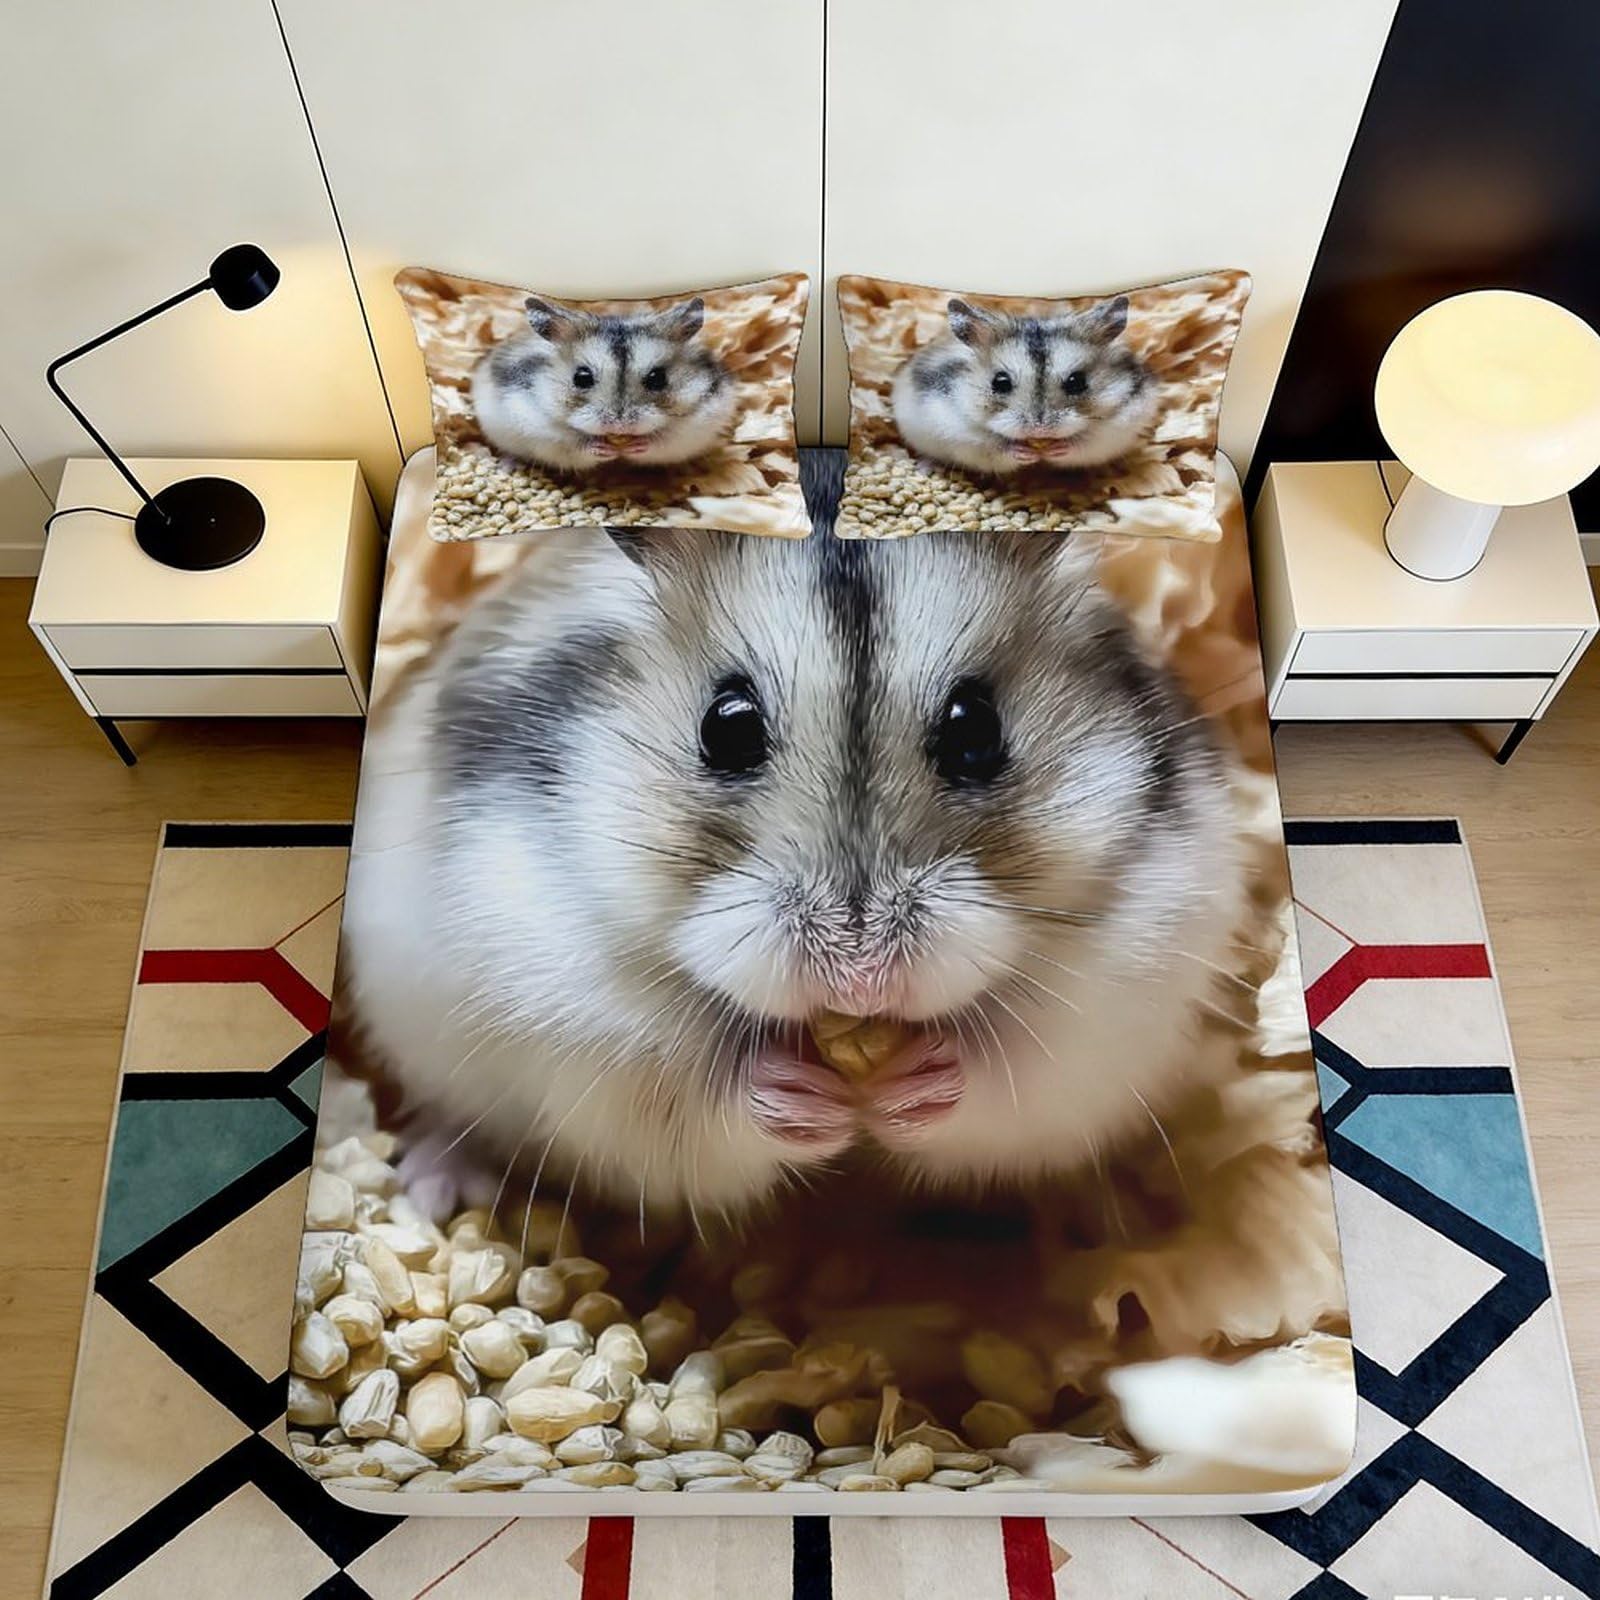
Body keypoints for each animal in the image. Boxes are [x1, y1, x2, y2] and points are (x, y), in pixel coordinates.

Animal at [341, 471, 1243, 1220]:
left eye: (975, 730)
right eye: (727, 728)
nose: (861, 975)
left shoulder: (1114, 996)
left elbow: (1005, 1076)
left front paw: (915, 1087)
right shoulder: (574, 1006)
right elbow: (695, 1093)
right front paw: (798, 1096)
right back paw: (434, 1190)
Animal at [471, 295, 737, 473]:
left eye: (657, 378)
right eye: (581, 377)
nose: (620, 426)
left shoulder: (694, 426)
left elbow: (661, 442)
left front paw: (635, 446)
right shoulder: (540, 430)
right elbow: (573, 444)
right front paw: (603, 449)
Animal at [891, 294, 1158, 477]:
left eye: (1077, 382)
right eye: (1000, 382)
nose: (1040, 430)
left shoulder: (1115, 428)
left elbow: (1082, 444)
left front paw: (1054, 450)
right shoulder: (962, 434)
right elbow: (995, 447)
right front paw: (1025, 453)